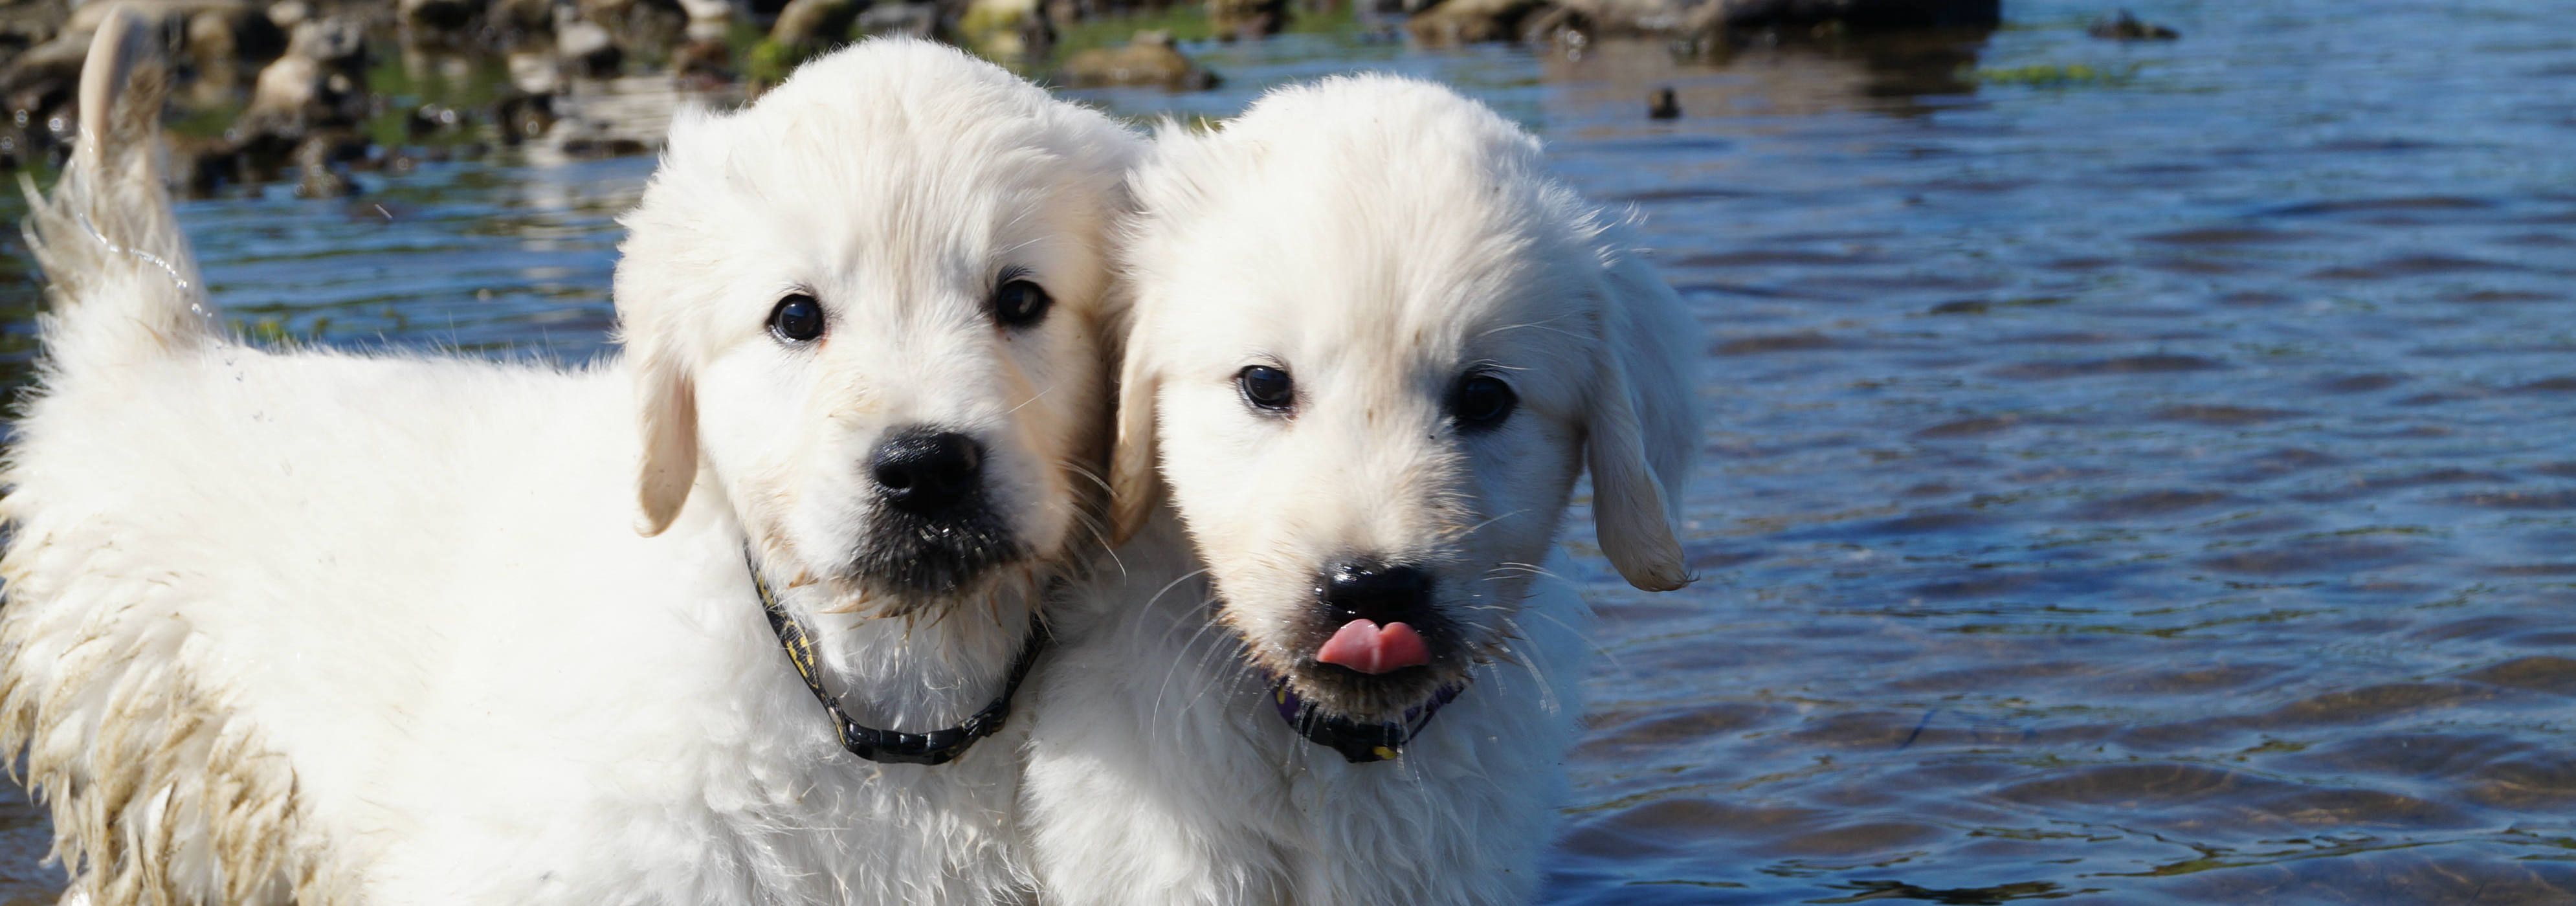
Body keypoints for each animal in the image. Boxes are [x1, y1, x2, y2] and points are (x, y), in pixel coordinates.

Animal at [0, 17, 1138, 901]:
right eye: (797, 318)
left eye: (1021, 301)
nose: (925, 467)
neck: (889, 694)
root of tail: (160, 343)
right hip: (172, 789)